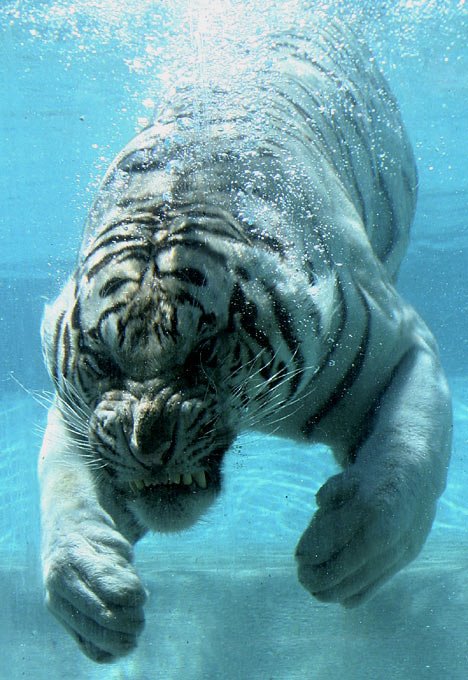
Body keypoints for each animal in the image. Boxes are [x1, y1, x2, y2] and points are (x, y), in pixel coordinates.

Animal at [39, 19, 452, 663]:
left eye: (204, 348)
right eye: (103, 357)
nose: (146, 444)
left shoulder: (402, 346)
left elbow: (405, 462)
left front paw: (342, 554)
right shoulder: (74, 410)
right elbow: (63, 495)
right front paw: (94, 599)